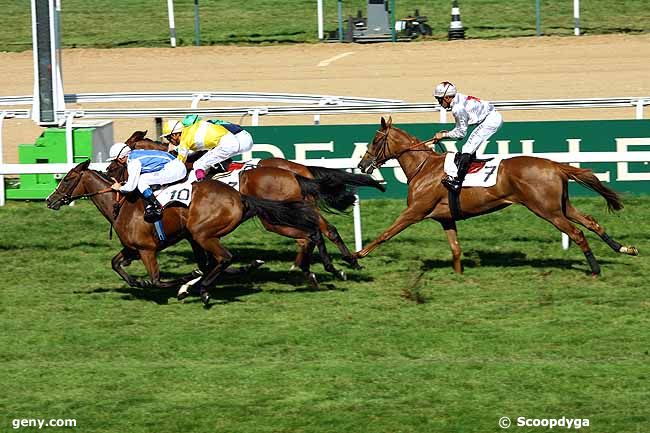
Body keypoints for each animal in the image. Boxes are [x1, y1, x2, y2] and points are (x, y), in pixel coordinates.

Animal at [46, 160, 322, 306]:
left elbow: (157, 280)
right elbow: (116, 264)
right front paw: (138, 282)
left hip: (202, 234)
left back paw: (204, 289)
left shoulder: (147, 250)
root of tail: (239, 197)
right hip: (202, 235)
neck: (121, 206)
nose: (50, 200)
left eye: (67, 178)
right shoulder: (132, 249)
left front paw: (184, 282)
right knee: (221, 261)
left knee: (224, 258)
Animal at [352, 116, 636, 276]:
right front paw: (458, 275)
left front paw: (356, 256)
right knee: (590, 222)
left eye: (375, 141)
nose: (362, 164)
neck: (424, 168)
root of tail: (555, 165)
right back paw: (624, 248)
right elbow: (456, 248)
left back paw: (595, 269)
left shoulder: (415, 212)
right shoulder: (445, 218)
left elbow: (386, 233)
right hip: (561, 205)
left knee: (577, 233)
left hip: (546, 210)